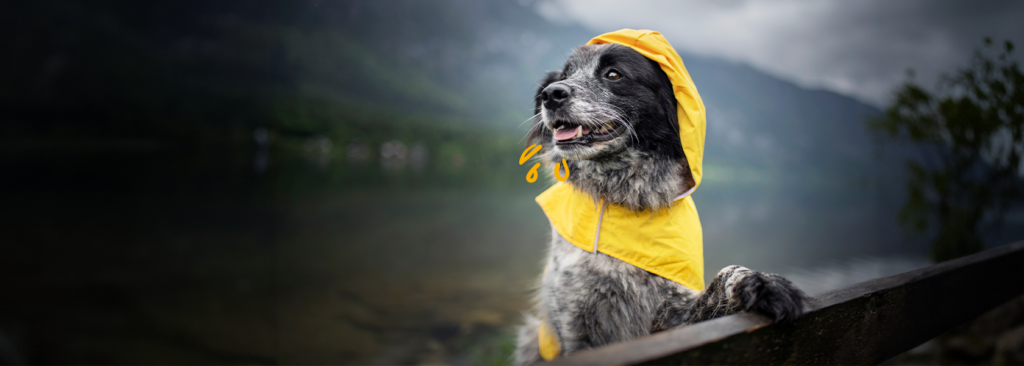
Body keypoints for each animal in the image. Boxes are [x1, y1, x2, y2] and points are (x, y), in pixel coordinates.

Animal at [516, 29, 802, 362]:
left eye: (613, 74)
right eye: (565, 75)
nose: (551, 94)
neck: (622, 198)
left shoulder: (673, 317)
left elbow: (726, 276)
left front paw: (763, 284)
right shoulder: (575, 321)